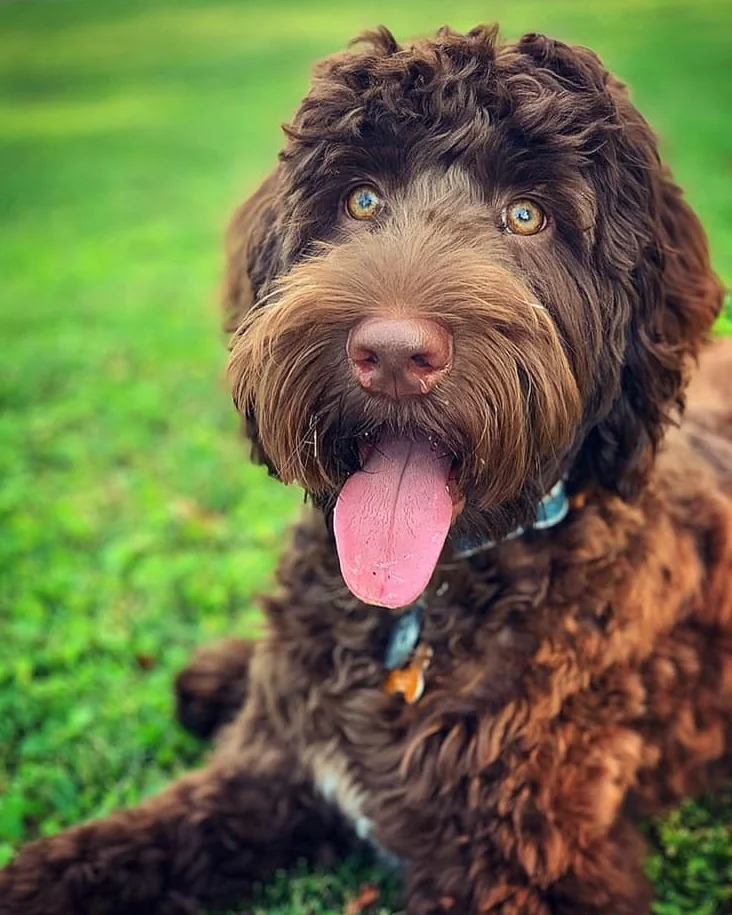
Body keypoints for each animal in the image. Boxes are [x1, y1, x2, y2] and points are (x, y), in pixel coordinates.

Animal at [1, 23, 732, 915]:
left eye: (529, 215)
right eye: (360, 200)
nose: (390, 353)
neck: (417, 614)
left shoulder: (523, 868)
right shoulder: (267, 770)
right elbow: (118, 844)